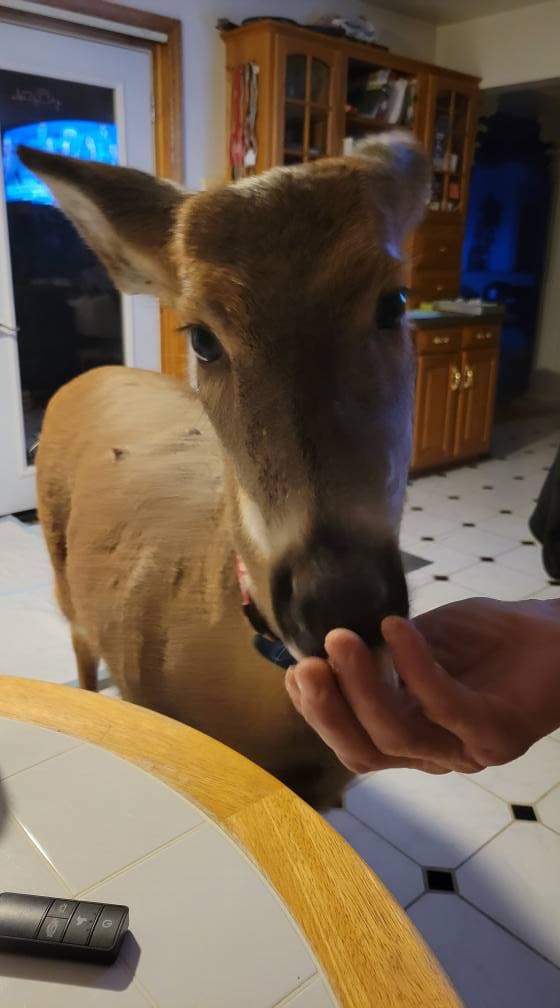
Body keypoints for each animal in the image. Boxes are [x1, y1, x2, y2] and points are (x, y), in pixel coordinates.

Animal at [19, 133, 429, 810]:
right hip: (60, 568)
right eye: (203, 338)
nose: (338, 600)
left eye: (395, 303)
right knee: (78, 642)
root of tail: (95, 371)